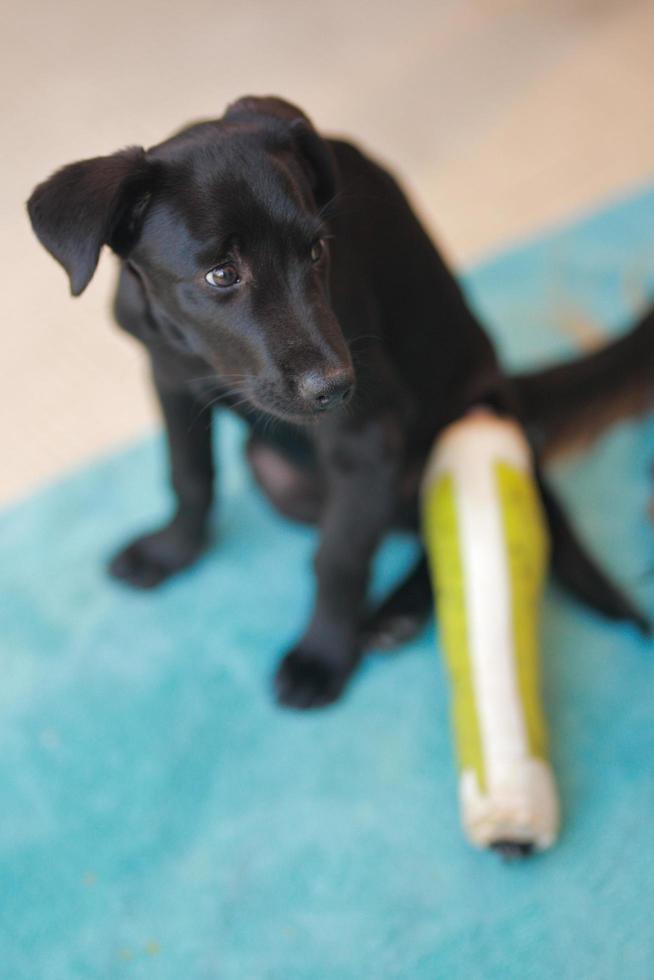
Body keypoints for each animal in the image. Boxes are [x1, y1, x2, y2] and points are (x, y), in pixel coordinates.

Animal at [28, 95, 652, 708]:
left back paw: (399, 611)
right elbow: (190, 475)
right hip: (274, 474)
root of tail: (511, 386)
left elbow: (341, 558)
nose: (337, 387)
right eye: (221, 274)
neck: (199, 353)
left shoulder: (365, 441)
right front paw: (171, 552)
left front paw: (322, 656)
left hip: (467, 427)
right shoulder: (169, 380)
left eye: (316, 251)